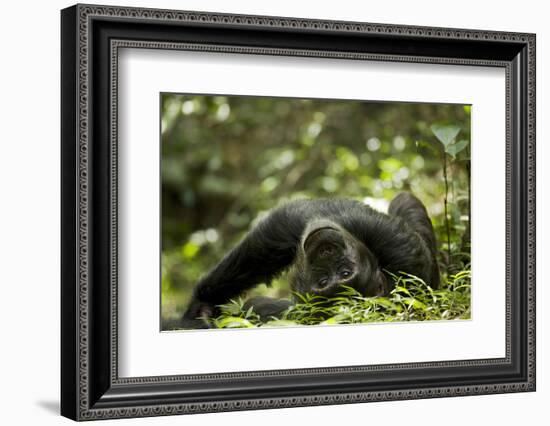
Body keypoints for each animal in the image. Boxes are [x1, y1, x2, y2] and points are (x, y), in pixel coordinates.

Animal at [181, 191, 440, 328]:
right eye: (324, 281)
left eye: (345, 273)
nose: (325, 252)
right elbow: (279, 232)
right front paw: (201, 307)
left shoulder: (400, 251)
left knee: (404, 200)